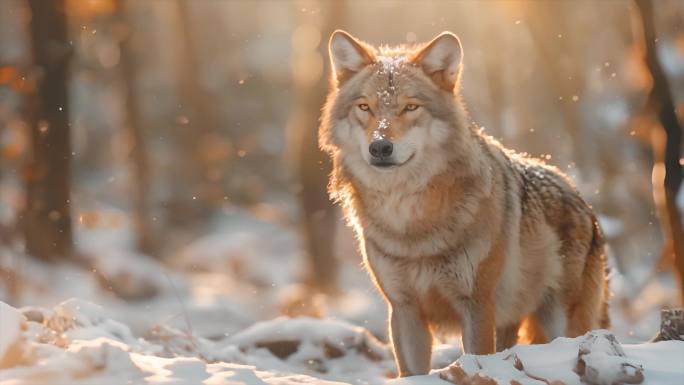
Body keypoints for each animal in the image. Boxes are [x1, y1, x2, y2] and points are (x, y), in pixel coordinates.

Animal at [318, 30, 612, 376]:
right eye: (365, 107)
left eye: (410, 107)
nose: (380, 147)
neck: (410, 224)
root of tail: (582, 200)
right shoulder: (403, 309)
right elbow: (412, 372)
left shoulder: (477, 304)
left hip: (559, 323)